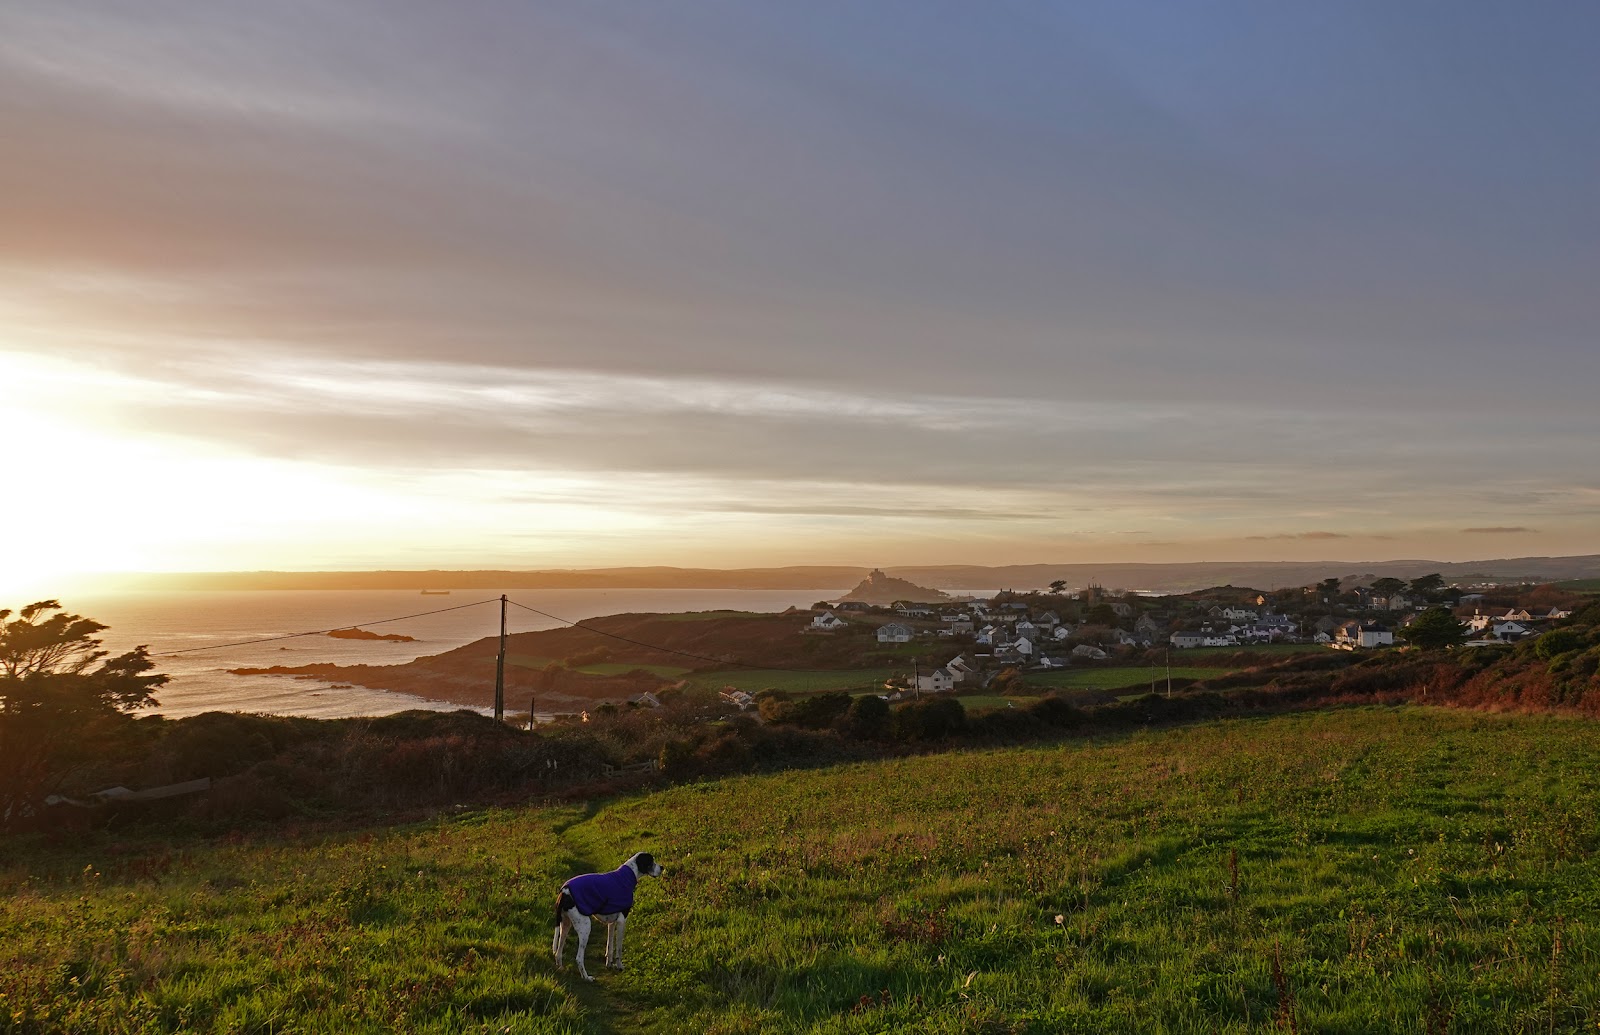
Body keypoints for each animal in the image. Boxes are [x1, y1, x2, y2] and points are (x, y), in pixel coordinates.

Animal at [552, 852, 664, 981]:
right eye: (651, 861)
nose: (662, 867)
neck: (628, 875)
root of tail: (564, 891)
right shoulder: (621, 921)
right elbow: (619, 949)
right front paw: (620, 966)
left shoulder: (612, 922)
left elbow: (609, 947)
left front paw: (609, 964)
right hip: (585, 927)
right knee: (579, 958)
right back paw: (586, 977)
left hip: (565, 925)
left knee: (558, 952)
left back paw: (561, 968)